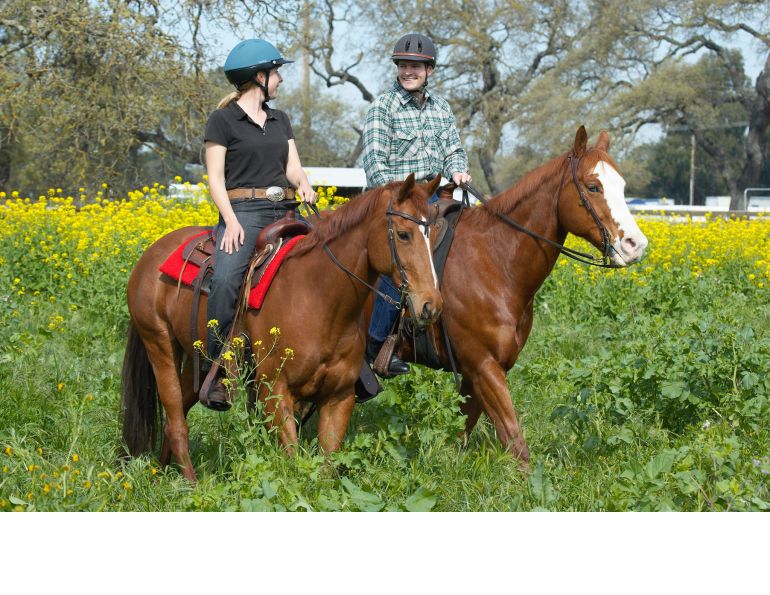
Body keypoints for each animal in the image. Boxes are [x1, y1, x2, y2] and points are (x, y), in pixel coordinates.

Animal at [122, 174, 443, 481]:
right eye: (403, 234)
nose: (431, 305)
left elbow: (324, 469)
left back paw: (161, 474)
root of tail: (151, 254)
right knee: (176, 421)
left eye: (435, 235)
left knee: (174, 418)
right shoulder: (274, 394)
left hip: (196, 363)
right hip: (160, 346)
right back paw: (190, 485)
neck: (318, 297)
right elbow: (294, 462)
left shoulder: (338, 398)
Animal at [397, 126, 648, 465]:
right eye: (593, 186)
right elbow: (515, 440)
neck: (494, 262)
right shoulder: (484, 366)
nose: (636, 245)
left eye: (621, 186)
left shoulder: (481, 371)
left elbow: (462, 429)